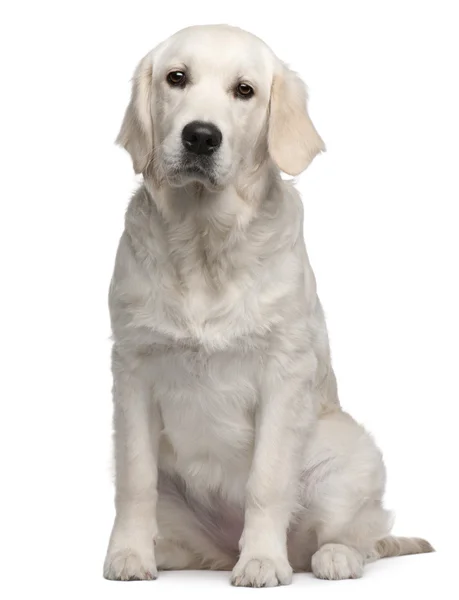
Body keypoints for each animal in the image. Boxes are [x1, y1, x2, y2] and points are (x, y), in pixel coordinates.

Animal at [102, 24, 434, 584]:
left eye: (245, 90)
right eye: (176, 78)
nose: (200, 136)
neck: (204, 242)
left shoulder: (284, 373)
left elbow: (267, 481)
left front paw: (260, 560)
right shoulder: (133, 369)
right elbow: (134, 479)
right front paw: (128, 555)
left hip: (348, 459)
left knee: (360, 536)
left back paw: (331, 557)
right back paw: (169, 552)